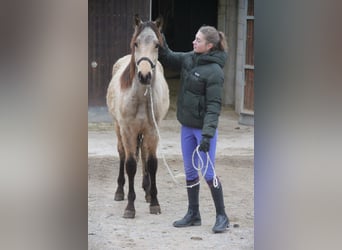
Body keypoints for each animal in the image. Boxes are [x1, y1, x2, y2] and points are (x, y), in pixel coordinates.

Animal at [105, 14, 170, 218]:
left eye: (157, 45)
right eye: (136, 43)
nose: (144, 75)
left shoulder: (152, 131)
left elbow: (152, 163)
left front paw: (154, 202)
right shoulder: (127, 131)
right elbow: (130, 164)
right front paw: (130, 207)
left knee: (143, 154)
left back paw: (147, 191)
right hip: (118, 128)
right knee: (122, 154)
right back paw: (120, 192)